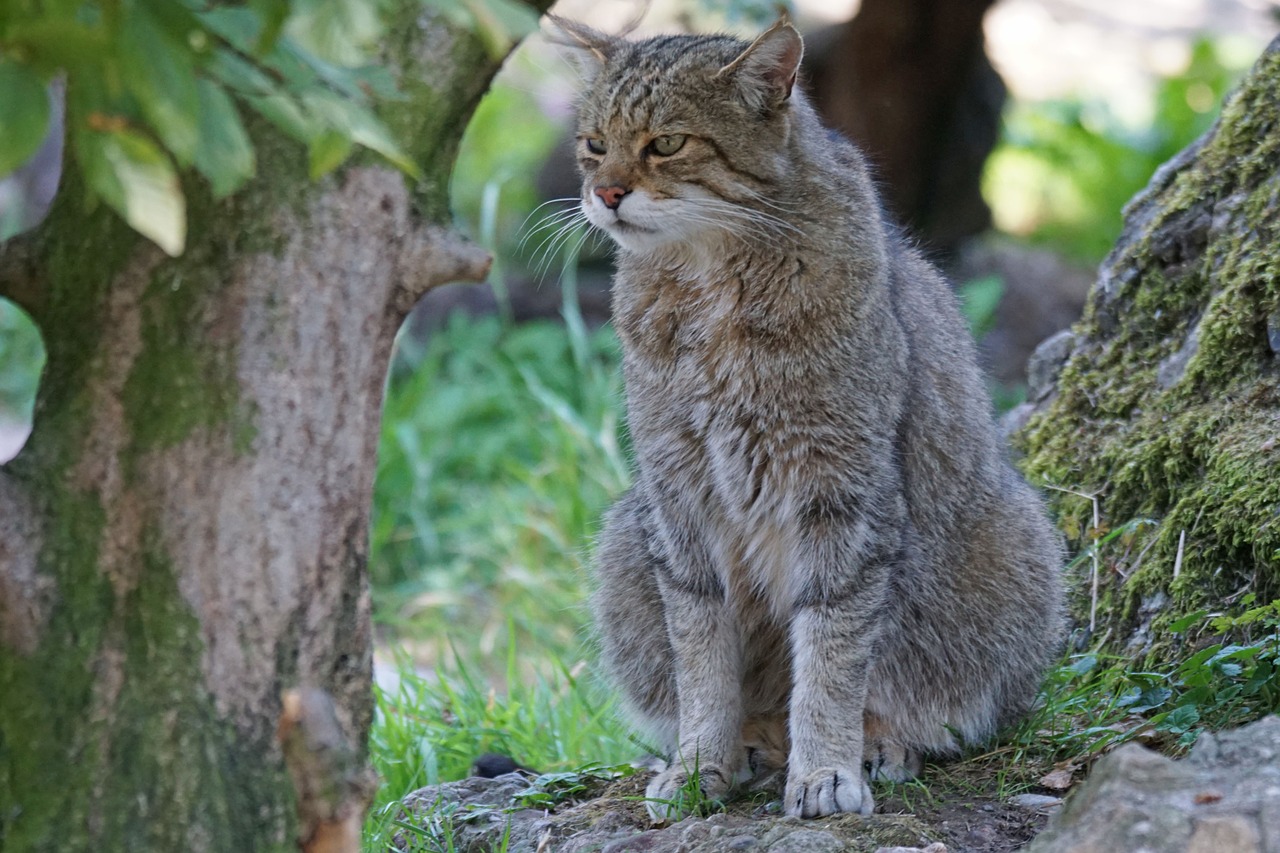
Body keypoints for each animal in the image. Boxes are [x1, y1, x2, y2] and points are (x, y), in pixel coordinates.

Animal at [550, 16, 1070, 819]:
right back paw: (754, 743)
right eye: (594, 144)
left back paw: (877, 743)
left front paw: (826, 767)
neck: (709, 281)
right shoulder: (679, 494)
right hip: (624, 538)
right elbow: (702, 656)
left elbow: (832, 652)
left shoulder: (842, 493)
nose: (604, 192)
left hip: (1011, 541)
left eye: (667, 143)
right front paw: (700, 761)